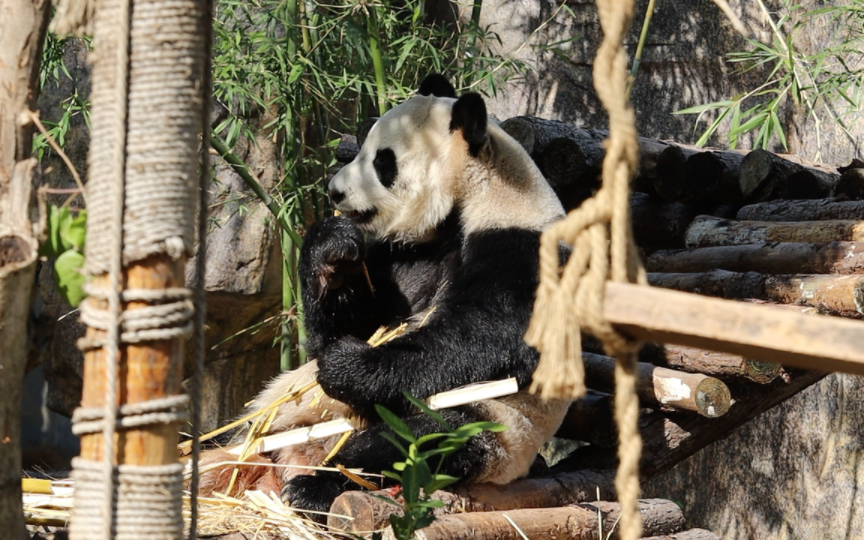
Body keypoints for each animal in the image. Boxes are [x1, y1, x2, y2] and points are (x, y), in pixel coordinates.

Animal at [198, 75, 572, 516]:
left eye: (383, 161)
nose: (334, 192)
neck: (478, 196)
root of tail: (291, 457)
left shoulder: (522, 249)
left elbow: (492, 340)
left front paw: (349, 365)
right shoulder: (403, 256)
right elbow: (346, 326)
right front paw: (333, 250)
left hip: (498, 429)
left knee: (420, 439)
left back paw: (314, 485)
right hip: (272, 410)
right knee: (233, 434)